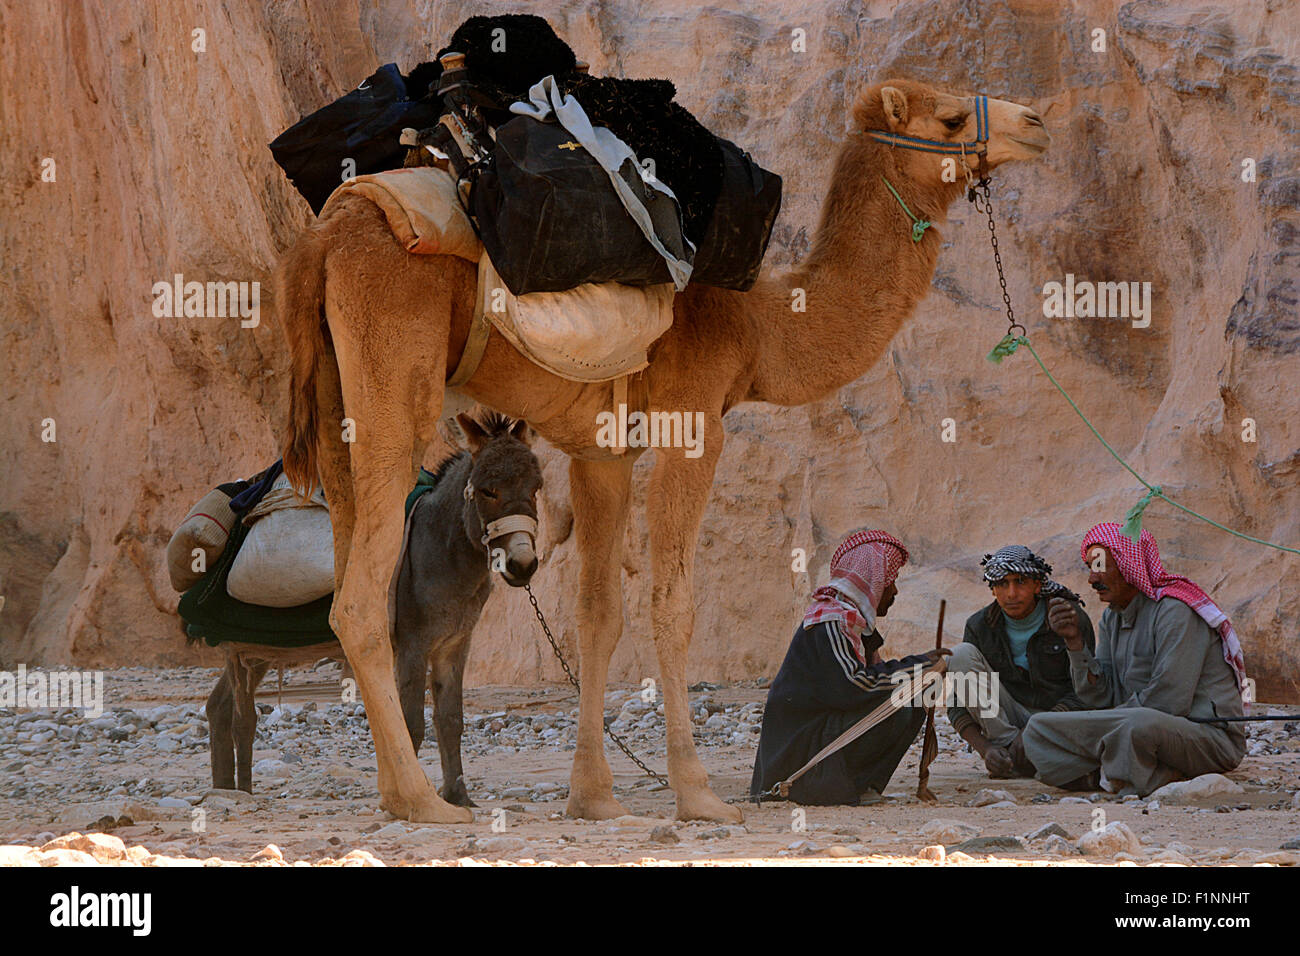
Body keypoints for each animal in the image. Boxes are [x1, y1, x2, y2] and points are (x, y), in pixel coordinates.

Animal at [276, 79, 1050, 823]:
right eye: (950, 119)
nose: (1037, 123)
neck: (760, 324)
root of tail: (322, 239)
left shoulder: (602, 452)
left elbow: (598, 612)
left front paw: (593, 797)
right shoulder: (695, 417)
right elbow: (672, 602)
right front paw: (699, 796)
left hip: (339, 409)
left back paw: (394, 793)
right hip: (392, 382)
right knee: (360, 597)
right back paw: (421, 801)